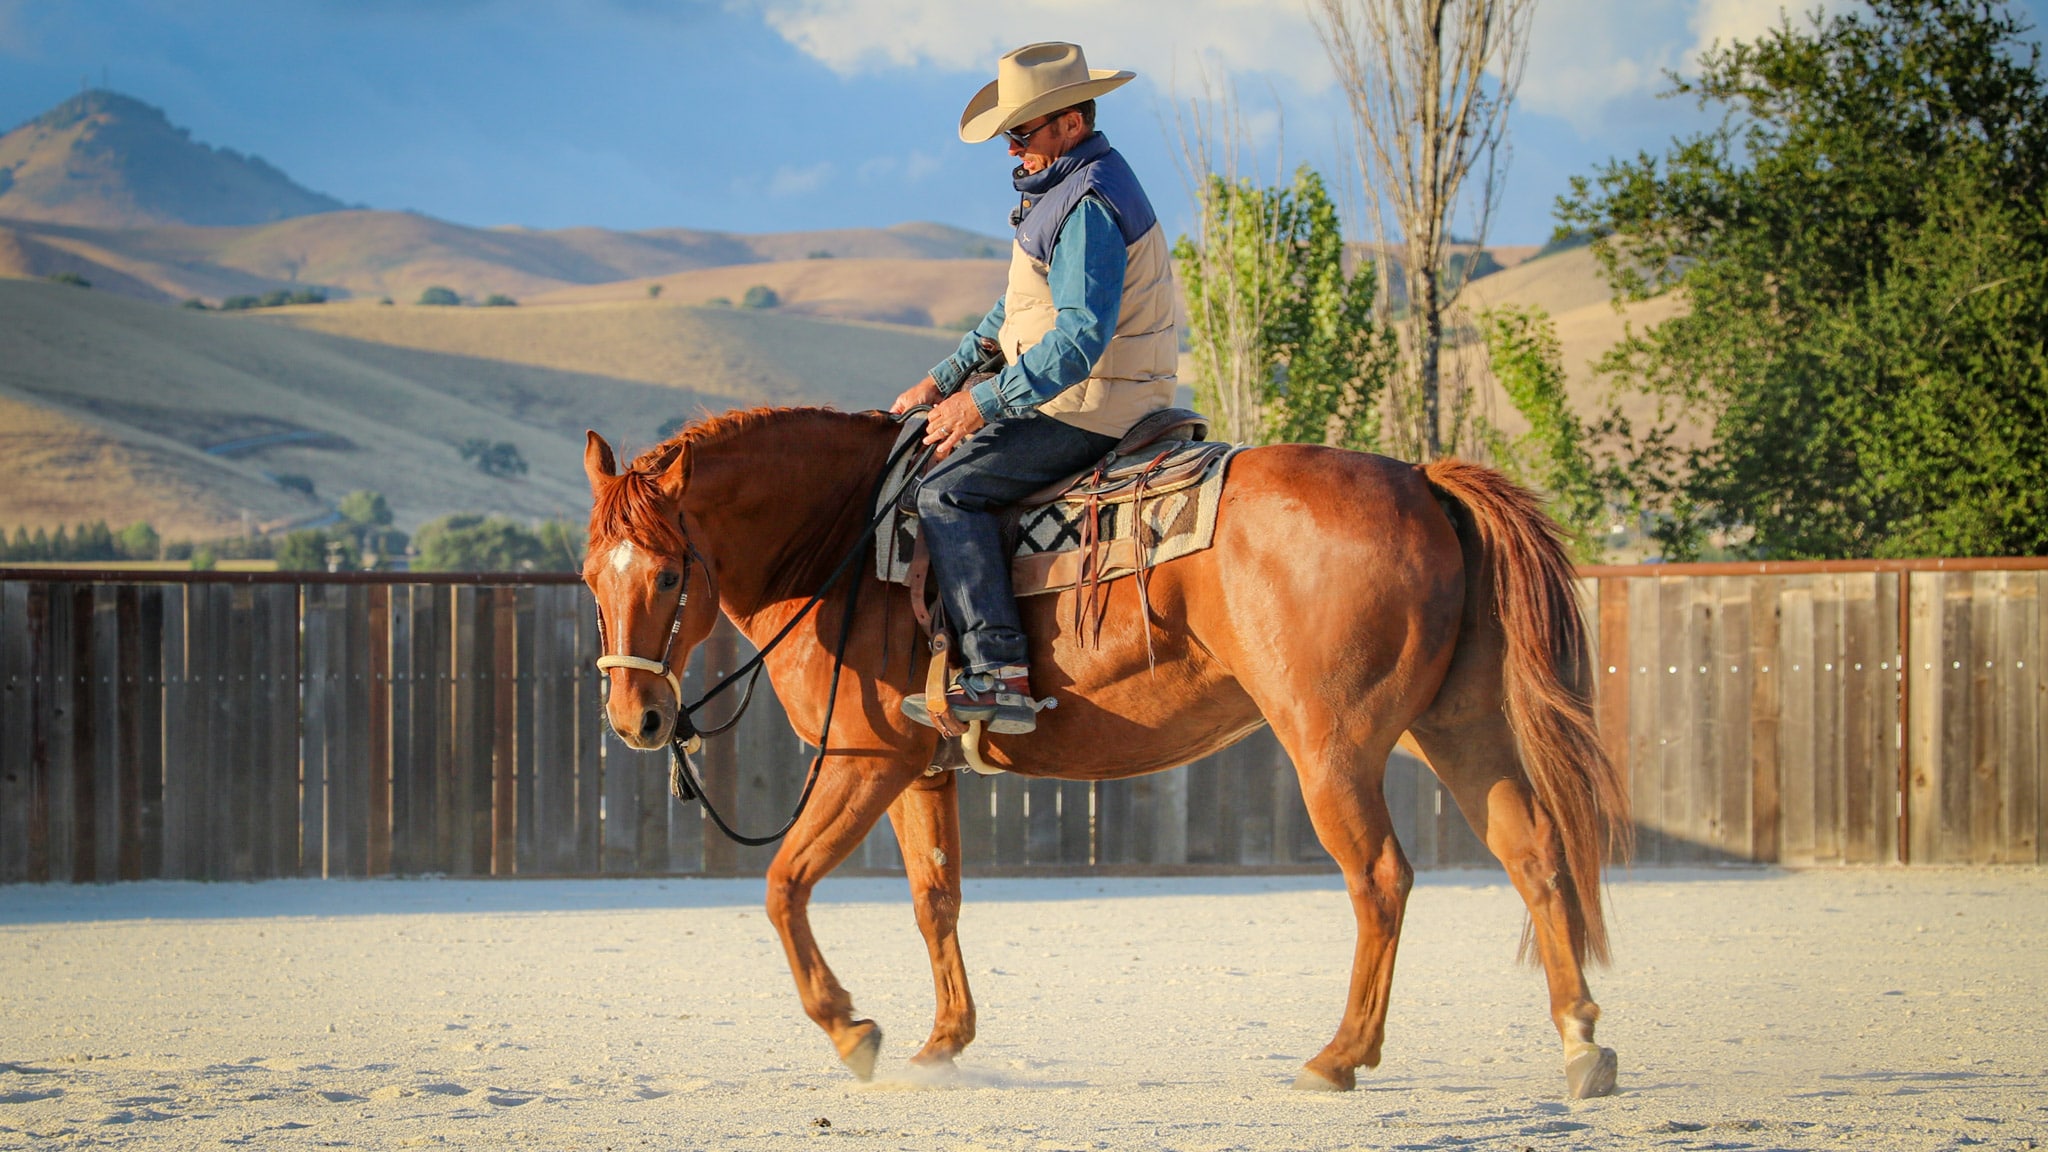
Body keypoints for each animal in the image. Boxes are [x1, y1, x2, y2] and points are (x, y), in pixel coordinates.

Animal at [581, 405, 1630, 1090]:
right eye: (594, 573)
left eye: (669, 572)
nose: (636, 719)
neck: (845, 545)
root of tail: (1417, 481)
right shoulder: (922, 772)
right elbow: (935, 899)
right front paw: (944, 1042)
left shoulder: (862, 762)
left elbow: (783, 885)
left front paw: (852, 1031)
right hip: (1460, 725)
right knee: (1534, 851)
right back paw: (1581, 1042)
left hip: (1333, 748)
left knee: (1380, 877)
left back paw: (1340, 1058)